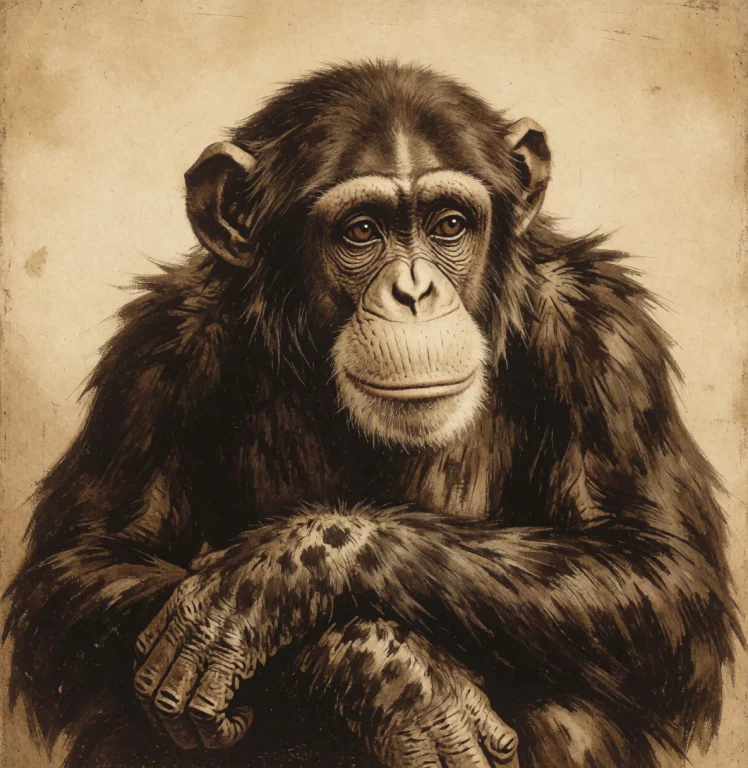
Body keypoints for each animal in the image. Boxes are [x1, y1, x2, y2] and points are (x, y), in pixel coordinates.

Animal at [4, 60, 739, 768]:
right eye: (362, 231)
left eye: (449, 225)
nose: (414, 292)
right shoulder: (158, 352)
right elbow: (77, 571)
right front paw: (392, 678)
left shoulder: (602, 335)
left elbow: (659, 573)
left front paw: (268, 580)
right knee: (122, 719)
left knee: (575, 714)